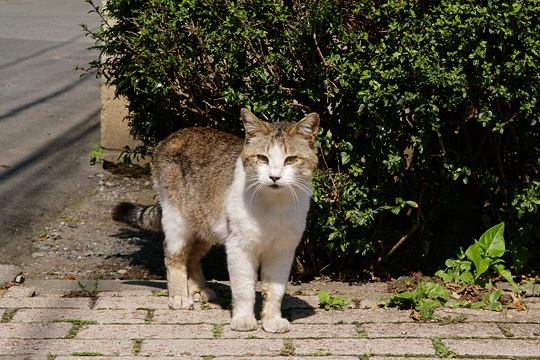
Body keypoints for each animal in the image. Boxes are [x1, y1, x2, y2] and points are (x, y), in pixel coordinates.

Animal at [112, 108, 318, 334]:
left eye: (291, 159)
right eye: (262, 158)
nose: (274, 177)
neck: (275, 204)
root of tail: (172, 136)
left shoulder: (282, 251)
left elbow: (275, 290)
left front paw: (271, 319)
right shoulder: (239, 247)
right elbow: (244, 288)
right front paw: (244, 319)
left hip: (205, 224)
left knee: (192, 256)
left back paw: (198, 289)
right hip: (177, 220)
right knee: (174, 255)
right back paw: (179, 295)